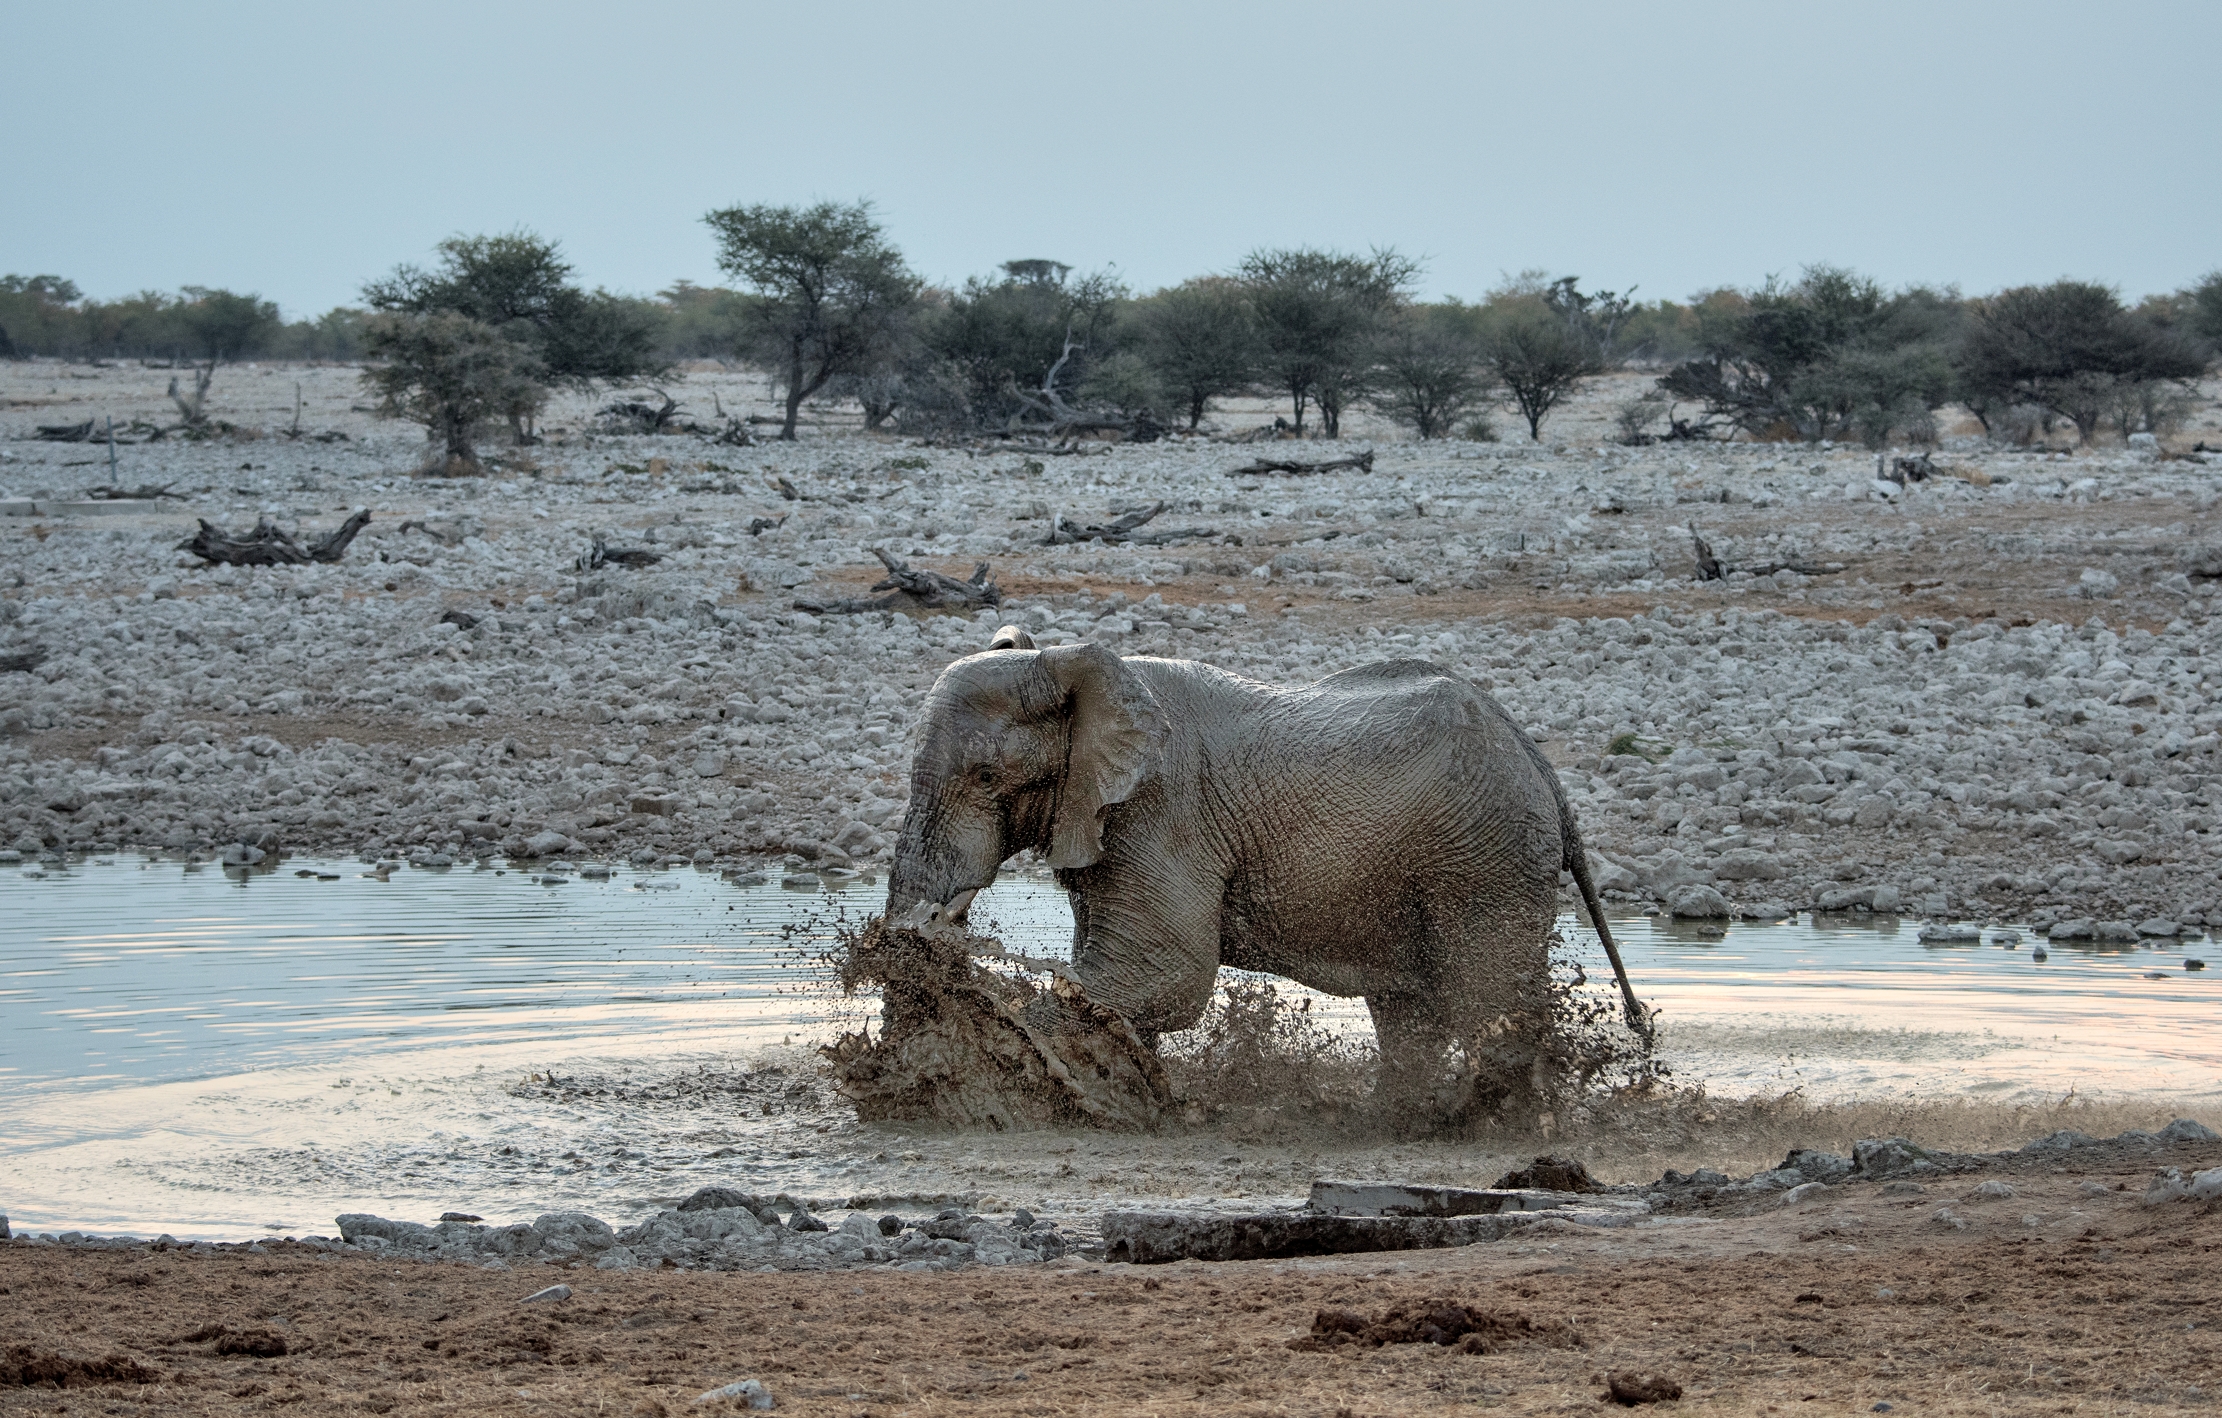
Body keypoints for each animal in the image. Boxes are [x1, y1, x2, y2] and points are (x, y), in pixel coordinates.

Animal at [884, 626, 1644, 1119]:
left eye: (987, 778)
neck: (1073, 665)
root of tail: (1536, 758)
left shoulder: (1163, 813)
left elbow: (1163, 974)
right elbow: (1128, 976)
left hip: (1486, 858)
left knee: (1490, 1004)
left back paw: (1491, 1121)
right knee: (1411, 1011)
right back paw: (1399, 1117)